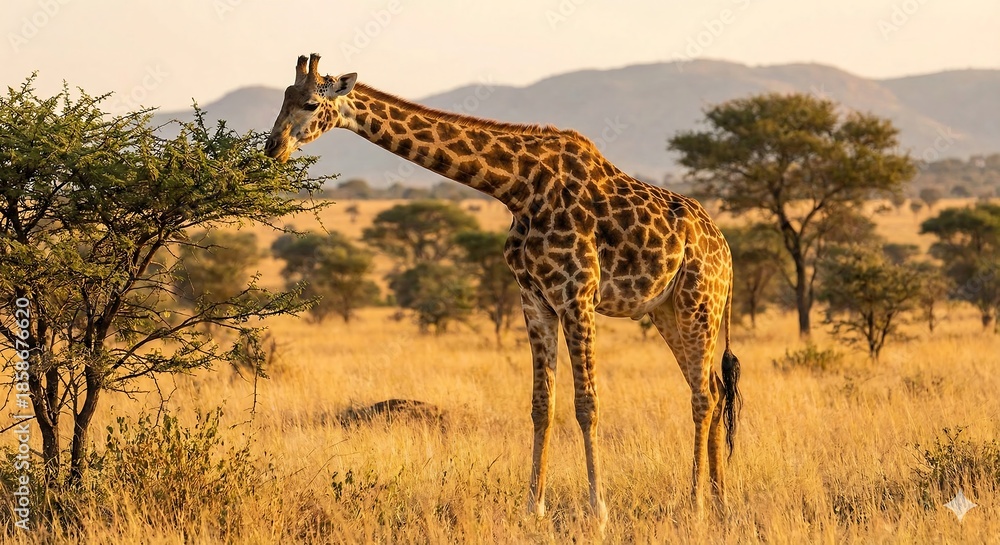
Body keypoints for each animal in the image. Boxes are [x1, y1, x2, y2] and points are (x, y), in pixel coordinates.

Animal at [265, 54, 742, 527]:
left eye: (310, 103)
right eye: (283, 97)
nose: (272, 148)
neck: (518, 189)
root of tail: (725, 250)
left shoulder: (577, 296)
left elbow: (587, 404)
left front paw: (598, 511)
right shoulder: (534, 299)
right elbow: (541, 404)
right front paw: (534, 507)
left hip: (698, 301)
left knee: (702, 395)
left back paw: (697, 504)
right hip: (666, 311)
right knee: (715, 388)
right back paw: (720, 503)